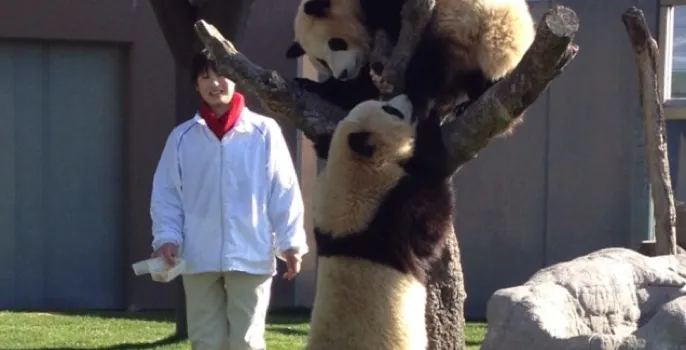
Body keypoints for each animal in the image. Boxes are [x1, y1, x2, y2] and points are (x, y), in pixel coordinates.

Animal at [284, 0, 536, 120]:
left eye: (336, 43)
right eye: (322, 62)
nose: (343, 74)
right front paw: (312, 85)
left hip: (465, 27)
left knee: (429, 66)